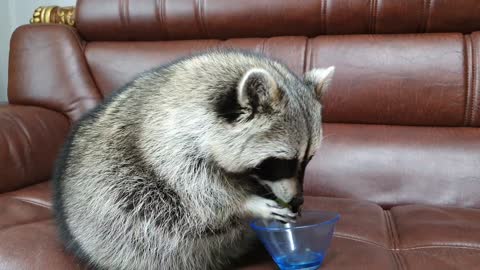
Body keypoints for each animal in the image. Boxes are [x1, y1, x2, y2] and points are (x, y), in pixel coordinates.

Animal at [53, 49, 334, 270]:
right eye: (279, 163)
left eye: (308, 160)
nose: (297, 201)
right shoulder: (168, 140)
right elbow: (198, 190)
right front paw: (248, 203)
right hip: (112, 210)